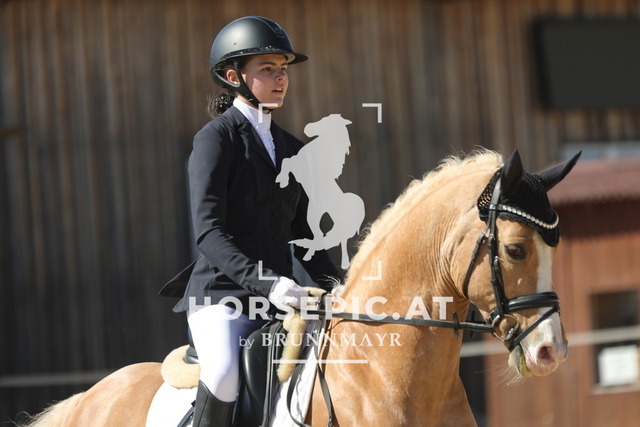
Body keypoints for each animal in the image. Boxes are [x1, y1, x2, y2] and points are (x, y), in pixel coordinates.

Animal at [276, 114, 365, 269]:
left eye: (325, 122)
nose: (307, 128)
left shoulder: (299, 169)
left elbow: (286, 161)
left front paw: (282, 180)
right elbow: (287, 160)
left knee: (340, 240)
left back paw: (344, 264)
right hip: (313, 216)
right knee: (321, 237)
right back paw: (309, 255)